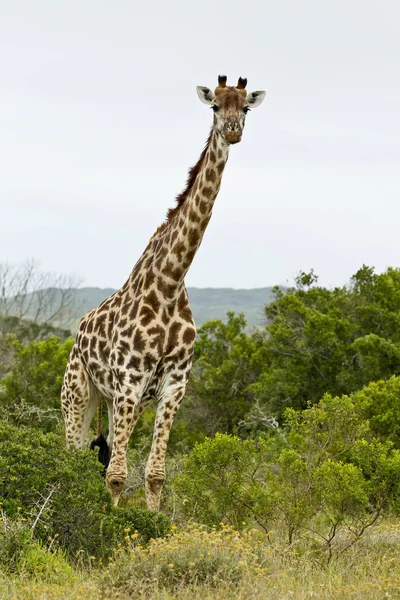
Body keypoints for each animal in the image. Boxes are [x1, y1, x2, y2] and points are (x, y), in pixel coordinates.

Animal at [61, 74, 266, 506]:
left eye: (246, 107)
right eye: (214, 106)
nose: (233, 131)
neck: (170, 281)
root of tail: (78, 333)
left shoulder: (173, 384)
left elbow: (153, 474)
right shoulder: (129, 379)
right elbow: (117, 476)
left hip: (119, 401)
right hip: (79, 392)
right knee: (71, 456)